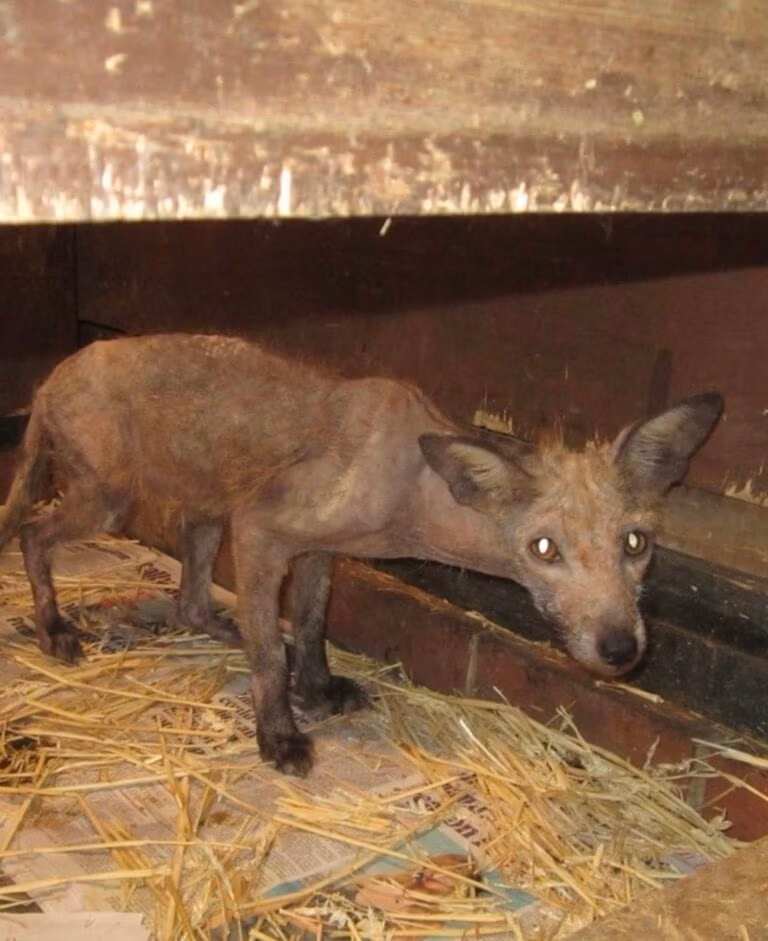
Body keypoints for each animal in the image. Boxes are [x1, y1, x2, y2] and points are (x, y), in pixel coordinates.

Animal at [0, 333, 723, 775]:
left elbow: (311, 627)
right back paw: (54, 629)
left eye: (636, 543)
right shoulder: (262, 531)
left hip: (201, 507)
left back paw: (229, 628)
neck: (408, 485)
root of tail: (48, 379)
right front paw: (279, 735)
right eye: (544, 548)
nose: (621, 649)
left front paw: (316, 687)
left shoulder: (316, 549)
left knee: (193, 604)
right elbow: (271, 662)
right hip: (111, 502)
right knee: (32, 534)